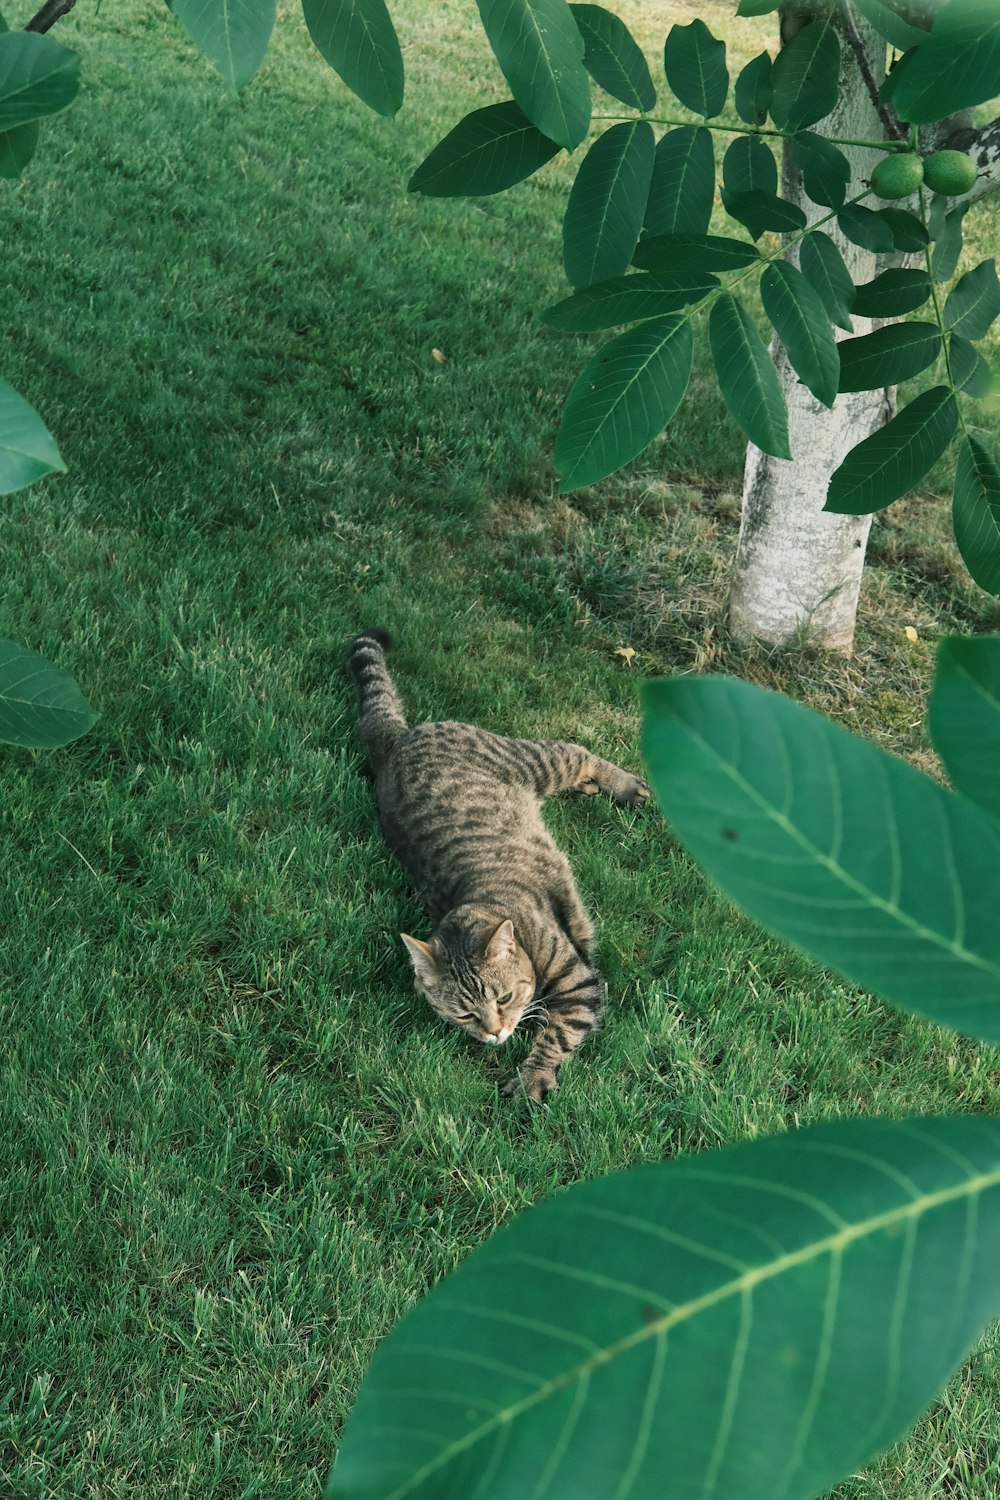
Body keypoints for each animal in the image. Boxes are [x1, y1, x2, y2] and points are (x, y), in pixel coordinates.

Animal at [347, 624, 653, 1104]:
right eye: (465, 1015)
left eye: (504, 998)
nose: (494, 1033)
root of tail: (395, 741)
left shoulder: (580, 984)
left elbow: (555, 1034)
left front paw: (532, 1078)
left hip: (534, 761)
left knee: (578, 750)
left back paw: (622, 785)